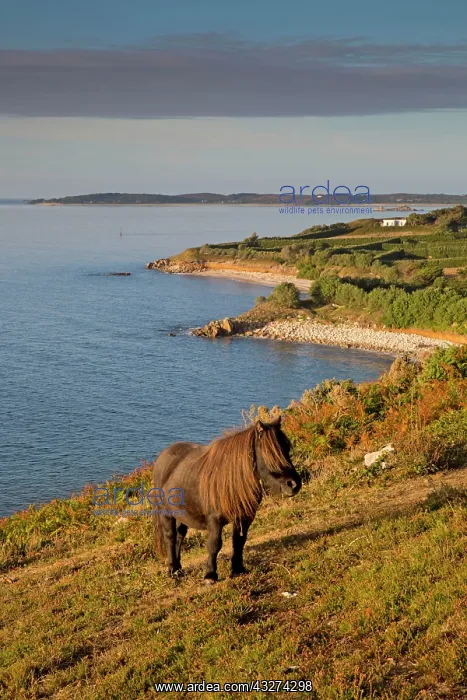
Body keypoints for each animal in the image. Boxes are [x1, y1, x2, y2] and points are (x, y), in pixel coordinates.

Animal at [152, 417, 302, 583]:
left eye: (287, 447)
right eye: (269, 452)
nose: (294, 484)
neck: (231, 480)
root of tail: (164, 456)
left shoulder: (244, 517)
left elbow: (239, 541)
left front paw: (238, 568)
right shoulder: (215, 520)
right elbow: (214, 544)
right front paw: (210, 575)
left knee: (180, 535)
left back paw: (179, 568)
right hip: (166, 513)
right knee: (170, 537)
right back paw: (172, 569)